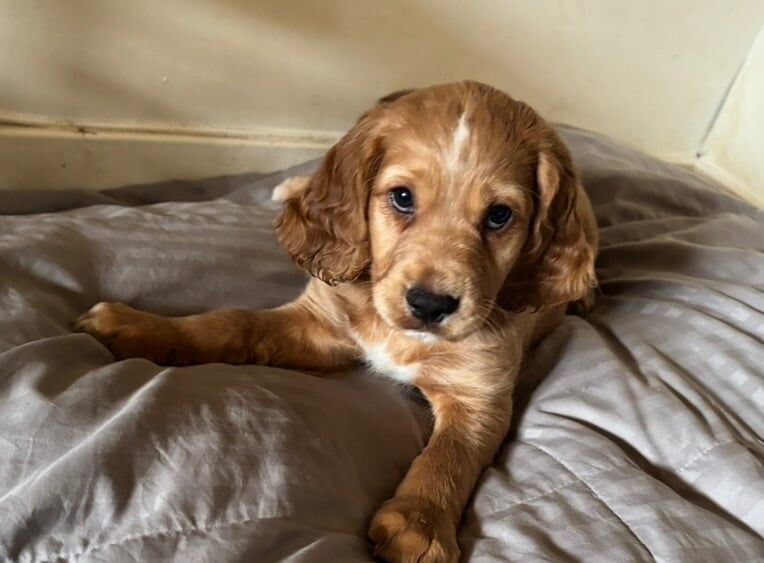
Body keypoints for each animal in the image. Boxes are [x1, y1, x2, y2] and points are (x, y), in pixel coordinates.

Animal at [76, 80, 596, 563]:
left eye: (500, 215)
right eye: (402, 198)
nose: (430, 304)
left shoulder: (480, 393)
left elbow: (450, 454)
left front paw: (419, 525)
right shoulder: (319, 325)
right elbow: (231, 322)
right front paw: (139, 326)